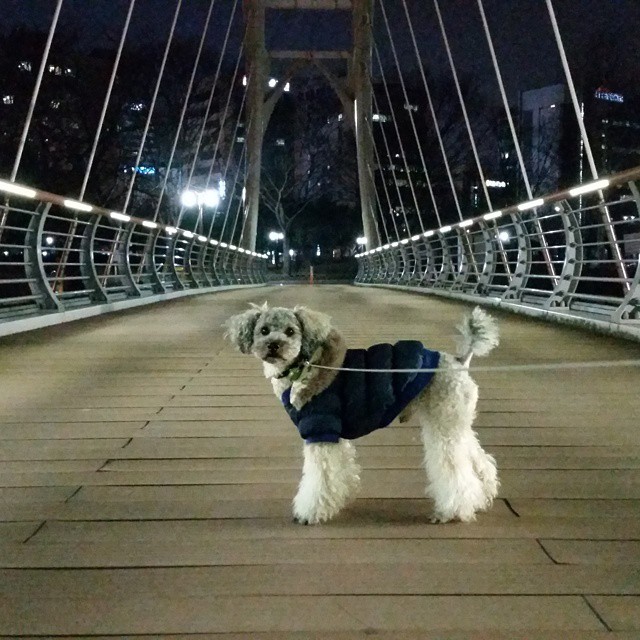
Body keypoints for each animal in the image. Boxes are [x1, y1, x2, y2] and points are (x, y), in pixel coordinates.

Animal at [225, 303, 499, 525]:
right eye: (263, 330)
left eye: (291, 332)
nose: (274, 345)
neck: (302, 368)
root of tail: (460, 361)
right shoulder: (335, 437)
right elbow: (339, 472)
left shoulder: (320, 432)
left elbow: (318, 478)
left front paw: (309, 513)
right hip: (456, 423)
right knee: (479, 458)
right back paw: (484, 495)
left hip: (443, 426)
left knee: (456, 472)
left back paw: (451, 512)